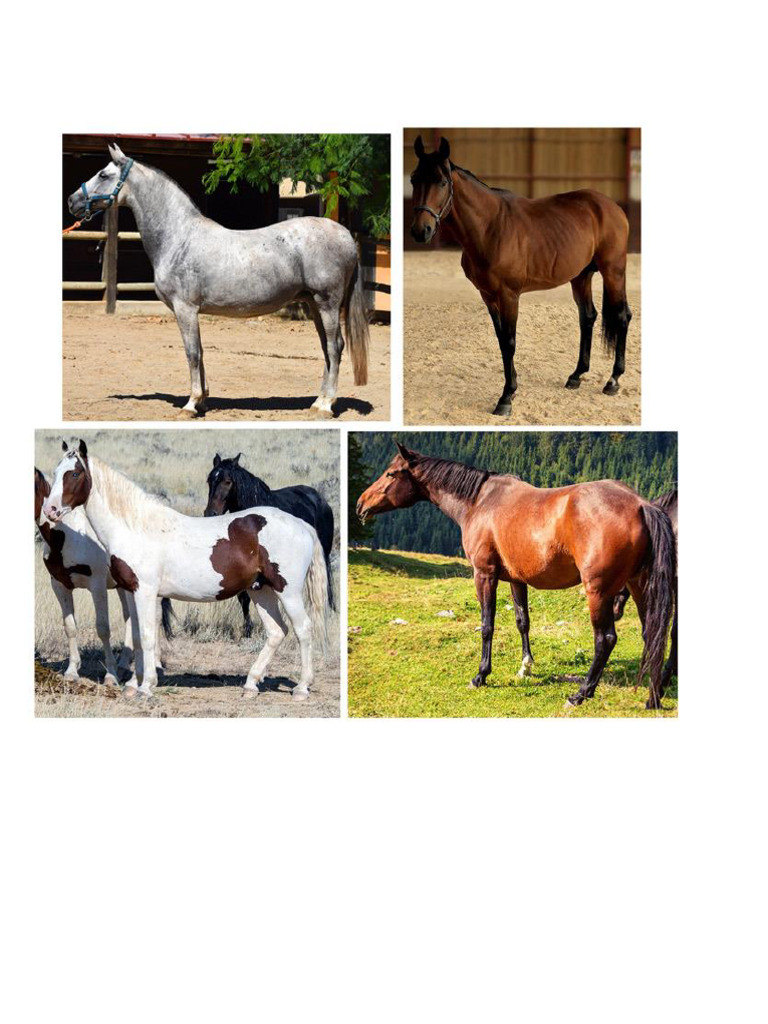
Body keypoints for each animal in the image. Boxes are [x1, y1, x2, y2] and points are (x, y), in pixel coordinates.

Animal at [35, 468, 173, 683]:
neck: (67, 534)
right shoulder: (59, 585)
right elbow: (70, 627)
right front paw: (72, 670)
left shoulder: (97, 585)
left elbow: (103, 628)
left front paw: (110, 674)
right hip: (124, 587)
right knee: (130, 618)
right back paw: (124, 666)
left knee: (155, 618)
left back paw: (154, 665)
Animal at [66, 143, 369, 419]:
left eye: (103, 174)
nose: (72, 201)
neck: (180, 237)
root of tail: (344, 234)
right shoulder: (192, 311)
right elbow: (200, 351)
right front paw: (202, 400)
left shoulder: (185, 309)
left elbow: (192, 353)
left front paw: (190, 404)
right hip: (314, 304)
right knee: (329, 348)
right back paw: (318, 402)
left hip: (327, 303)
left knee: (335, 347)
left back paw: (327, 406)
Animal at [204, 453, 336, 639]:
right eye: (209, 480)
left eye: (228, 481)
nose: (210, 513)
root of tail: (319, 498)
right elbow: (243, 597)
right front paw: (247, 630)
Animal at [409, 136, 633, 413]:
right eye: (413, 179)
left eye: (441, 181)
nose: (421, 231)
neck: (491, 228)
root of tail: (612, 207)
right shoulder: (488, 296)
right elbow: (501, 341)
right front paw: (511, 389)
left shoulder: (509, 295)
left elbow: (510, 341)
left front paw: (506, 397)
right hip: (581, 276)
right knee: (587, 317)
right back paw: (576, 376)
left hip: (614, 271)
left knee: (622, 317)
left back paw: (613, 381)